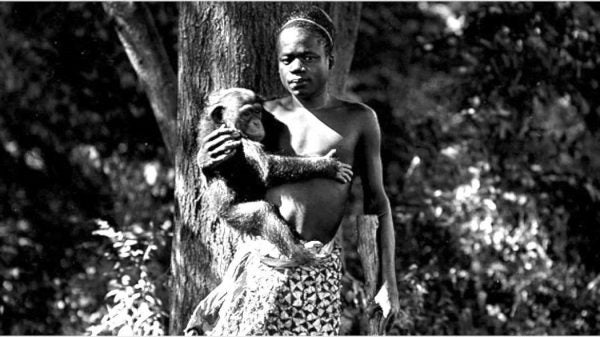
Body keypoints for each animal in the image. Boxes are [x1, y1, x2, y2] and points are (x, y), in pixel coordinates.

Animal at [199, 88, 354, 264]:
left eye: (257, 112)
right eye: (246, 114)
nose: (256, 123)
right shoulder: (234, 139)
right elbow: (267, 166)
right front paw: (329, 165)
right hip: (230, 215)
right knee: (262, 212)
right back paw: (298, 253)